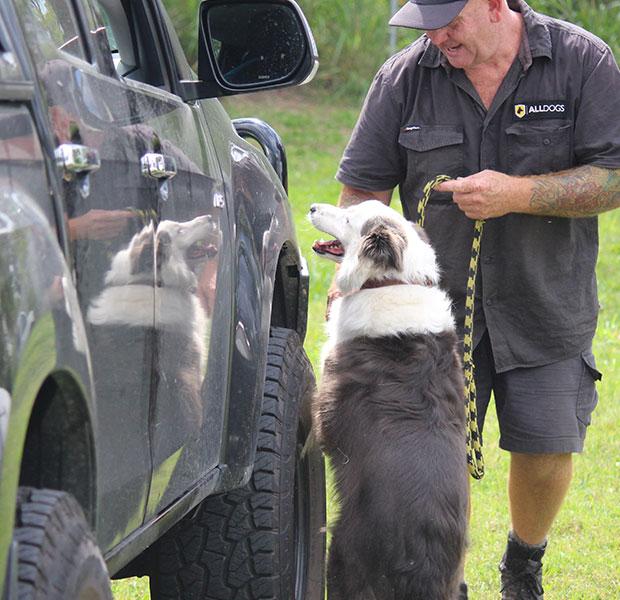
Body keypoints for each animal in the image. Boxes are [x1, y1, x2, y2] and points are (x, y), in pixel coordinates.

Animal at [308, 202, 468, 600]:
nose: (313, 206)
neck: (392, 281)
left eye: (348, 217)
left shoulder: (326, 409)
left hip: (344, 553)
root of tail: (422, 564)